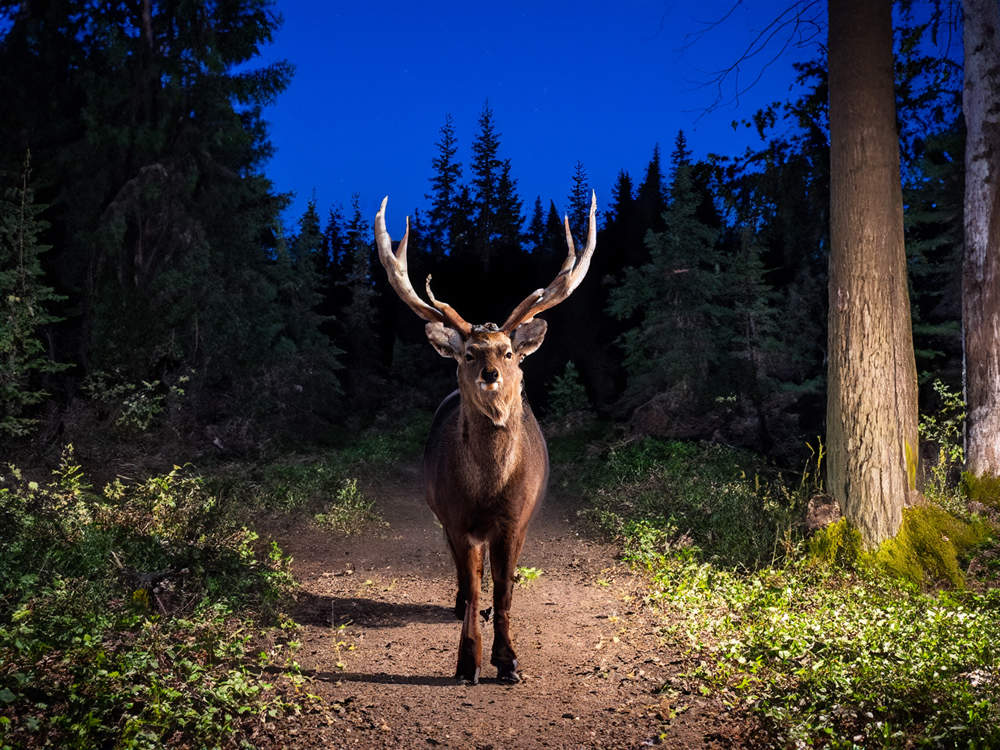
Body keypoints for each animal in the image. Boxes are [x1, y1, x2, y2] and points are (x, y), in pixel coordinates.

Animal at [374, 192, 592, 680]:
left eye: (508, 352)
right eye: (469, 353)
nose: (490, 374)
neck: (489, 489)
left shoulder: (516, 520)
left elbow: (504, 590)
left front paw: (508, 660)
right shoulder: (457, 519)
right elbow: (474, 587)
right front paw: (467, 662)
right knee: (462, 573)